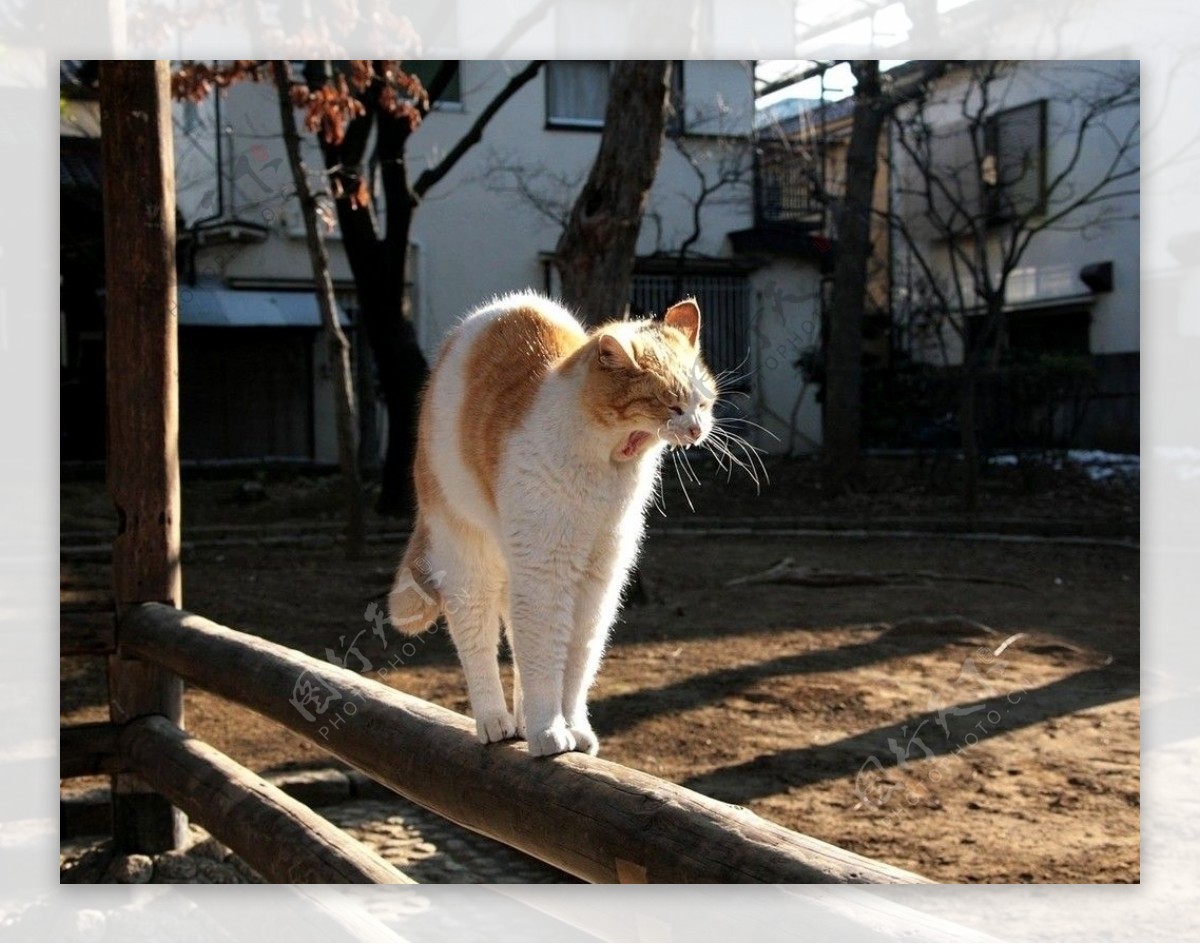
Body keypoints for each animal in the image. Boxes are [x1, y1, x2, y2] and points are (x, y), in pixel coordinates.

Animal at [388, 291, 715, 758]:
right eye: (671, 403)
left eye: (702, 401)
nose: (697, 428)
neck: (607, 468)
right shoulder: (548, 572)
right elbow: (544, 657)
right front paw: (548, 731)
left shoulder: (598, 579)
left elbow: (577, 661)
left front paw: (571, 727)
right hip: (470, 559)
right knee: (479, 640)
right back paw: (495, 721)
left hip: (515, 567)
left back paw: (525, 721)